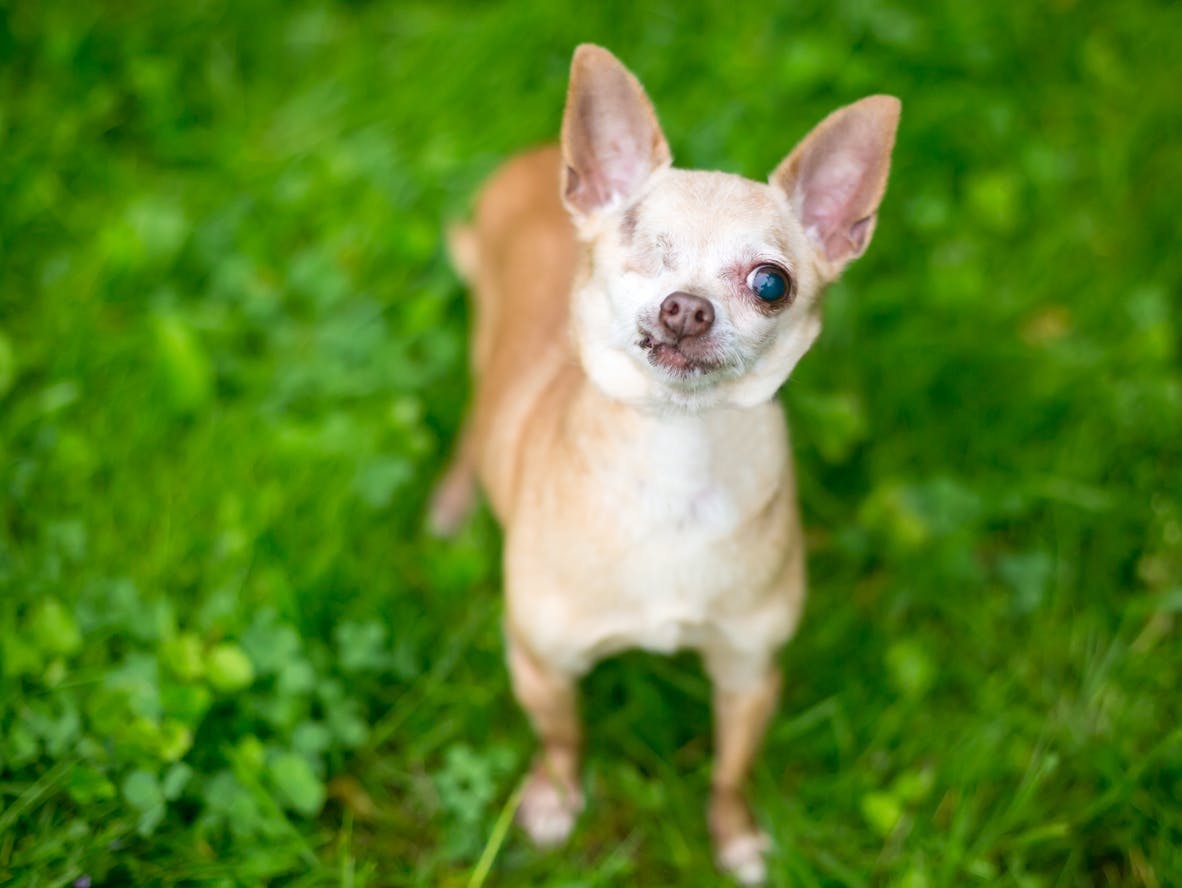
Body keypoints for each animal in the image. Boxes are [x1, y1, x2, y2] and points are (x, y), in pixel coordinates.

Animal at [430, 43, 898, 884]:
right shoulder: (542, 664)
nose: (686, 306)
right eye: (642, 256)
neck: (675, 455)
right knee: (470, 432)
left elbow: (730, 770)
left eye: (771, 284)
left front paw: (735, 836)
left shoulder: (749, 672)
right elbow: (563, 739)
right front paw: (554, 801)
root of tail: (533, 156)